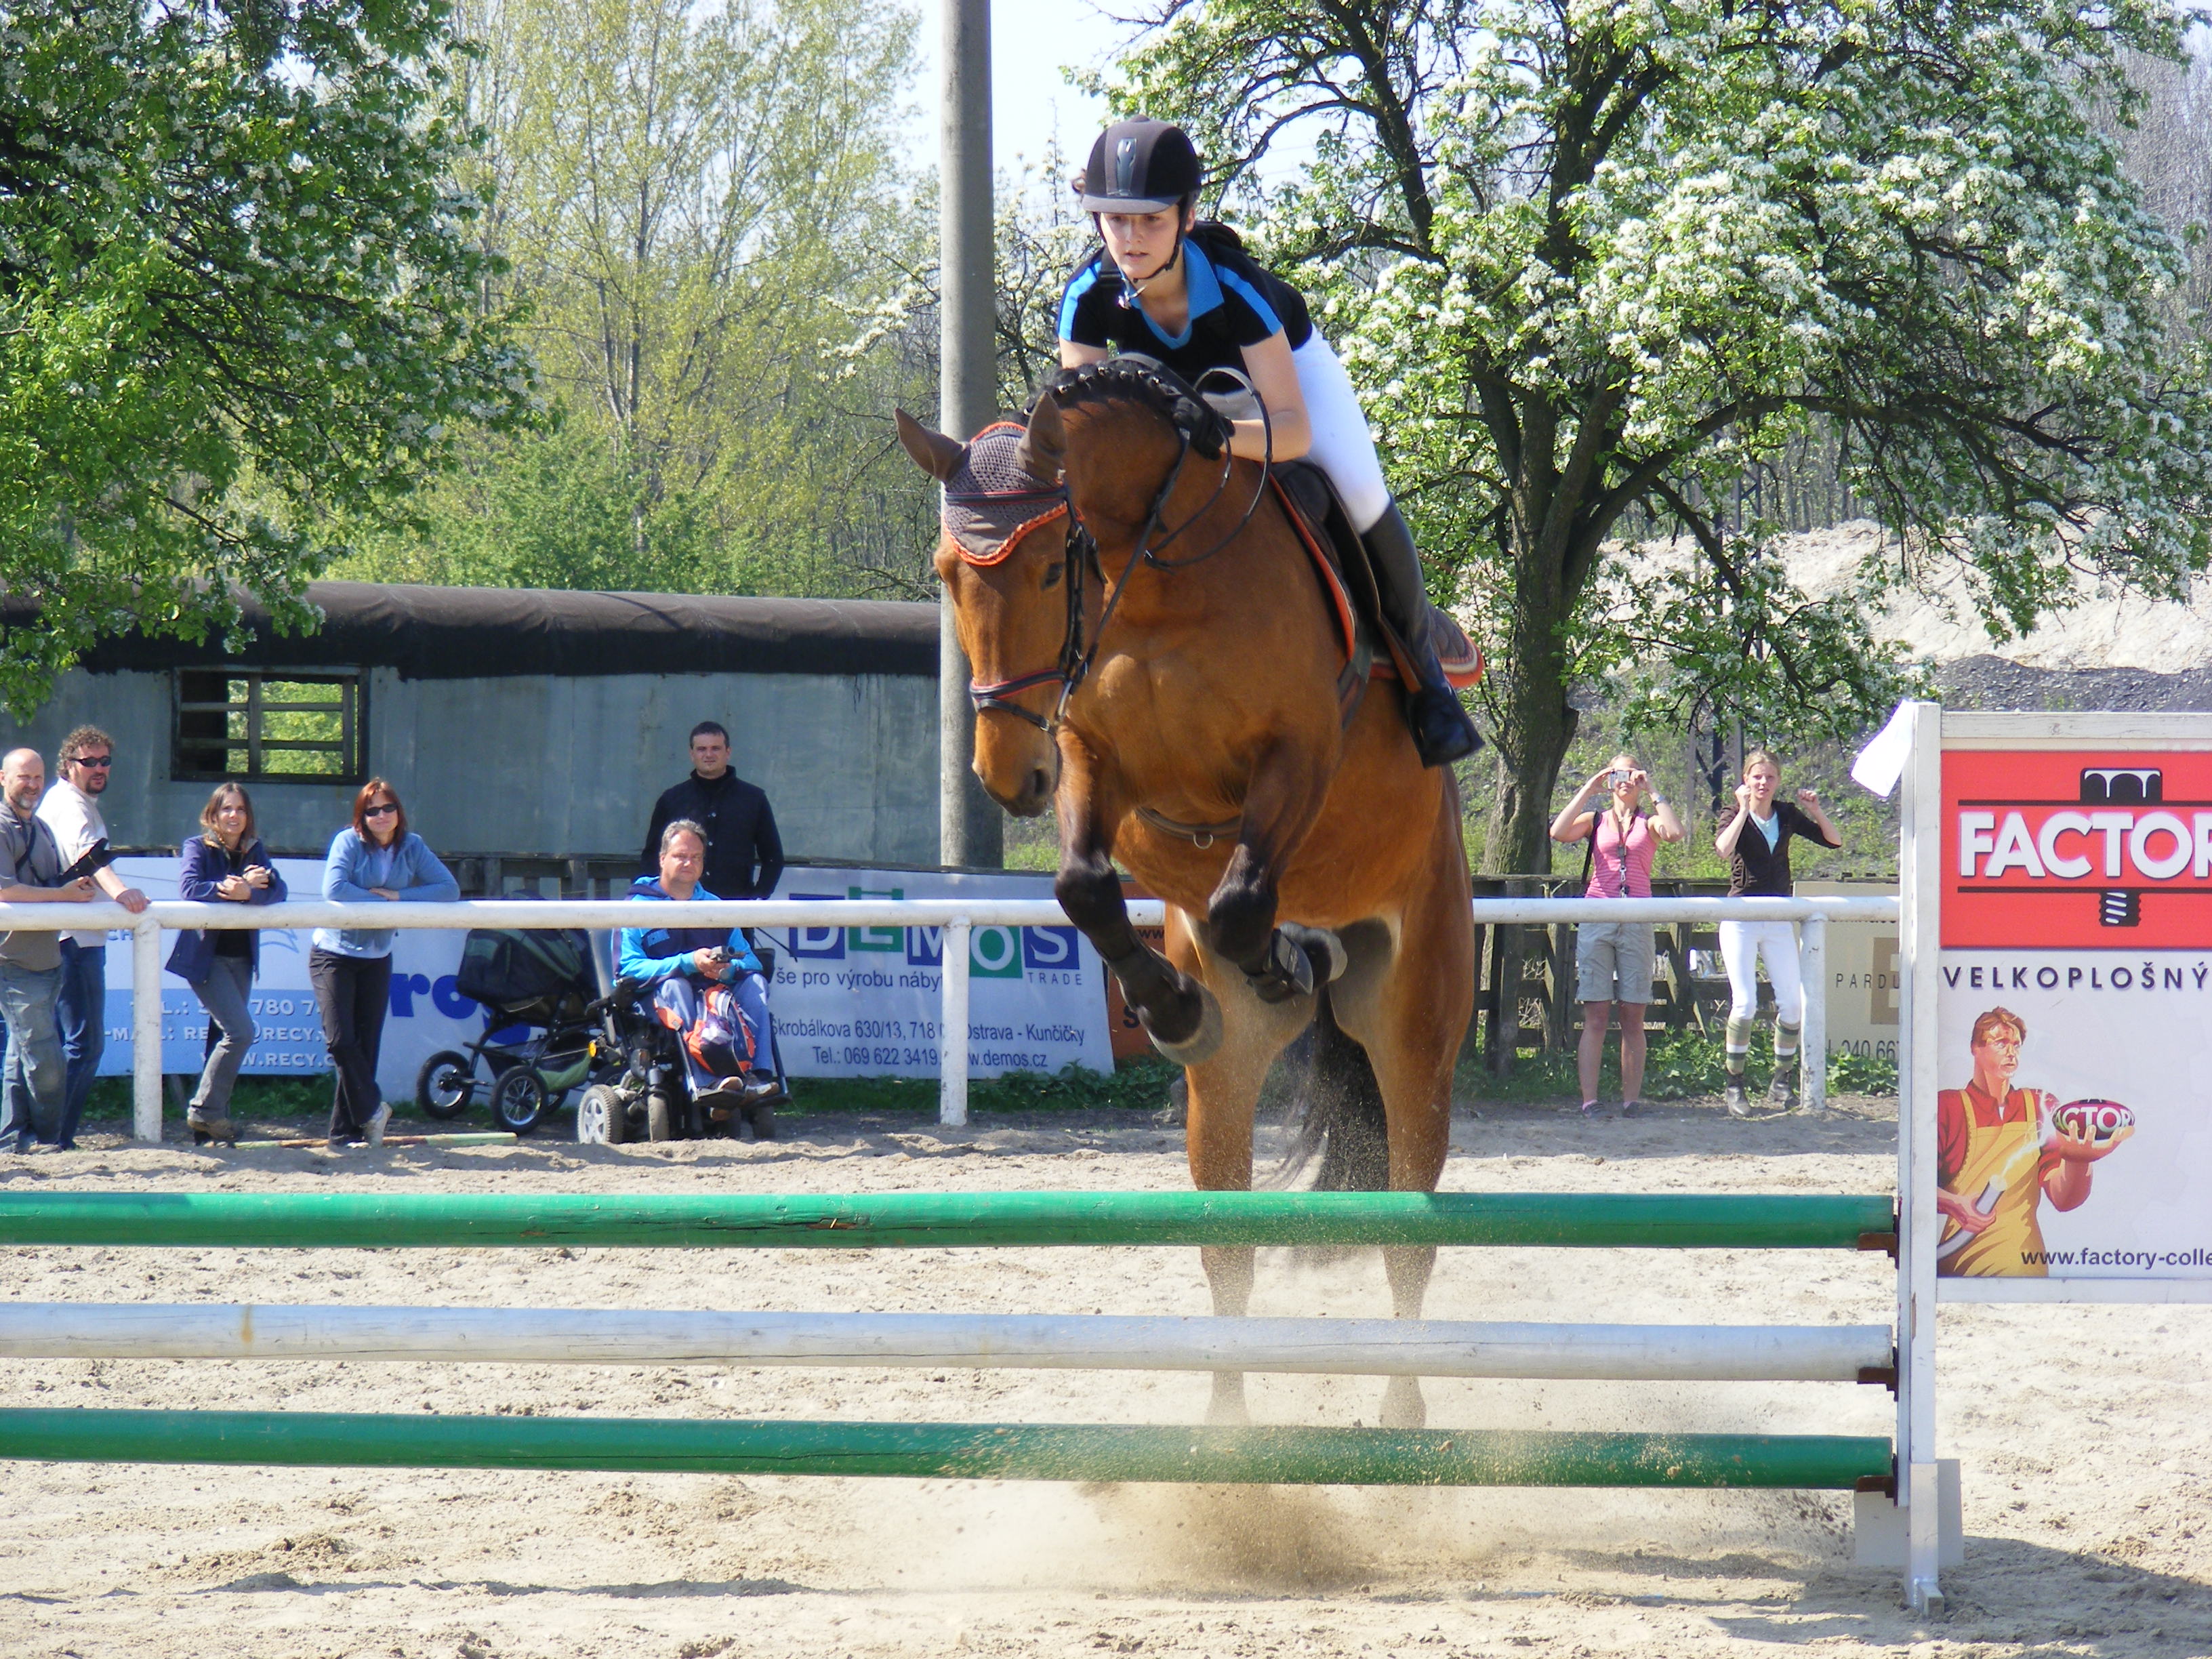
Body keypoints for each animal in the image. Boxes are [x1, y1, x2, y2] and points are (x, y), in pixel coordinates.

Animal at [889, 363, 1477, 1433]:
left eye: (1050, 572)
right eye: (946, 572)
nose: (1004, 778)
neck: (1155, 577)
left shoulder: (1298, 755)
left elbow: (1242, 895)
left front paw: (1273, 956)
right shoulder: (1087, 756)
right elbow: (1085, 884)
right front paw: (1170, 1004)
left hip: (1416, 1023)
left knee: (1406, 1228)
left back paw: (1402, 1419)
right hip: (1229, 1085)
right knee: (1228, 1242)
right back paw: (1225, 1441)